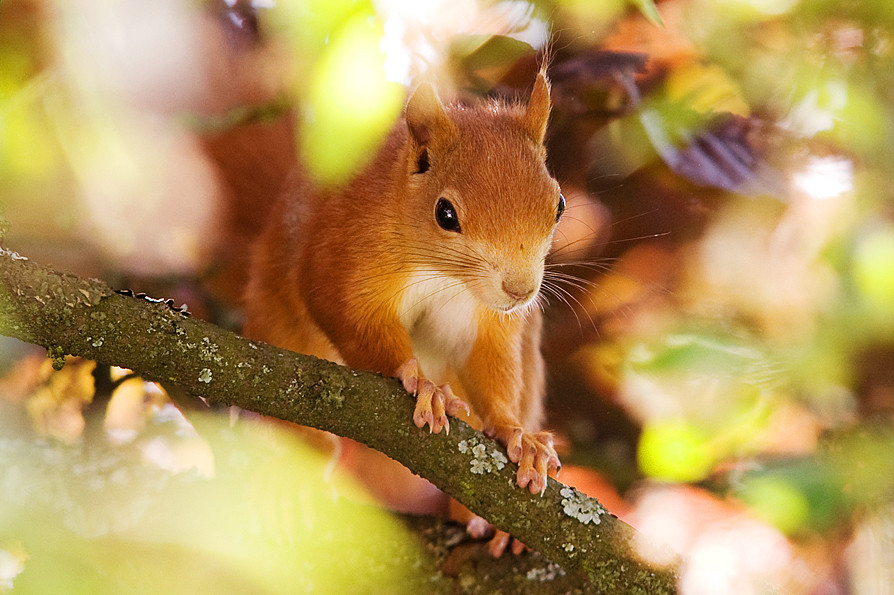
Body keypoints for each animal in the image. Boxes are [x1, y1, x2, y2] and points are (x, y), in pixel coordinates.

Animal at [243, 68, 568, 536]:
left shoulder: (488, 320)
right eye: (445, 214)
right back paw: (295, 481)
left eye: (558, 204)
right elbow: (347, 313)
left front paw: (515, 435)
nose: (520, 290)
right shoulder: (344, 250)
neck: (444, 276)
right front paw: (424, 386)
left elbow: (491, 367)